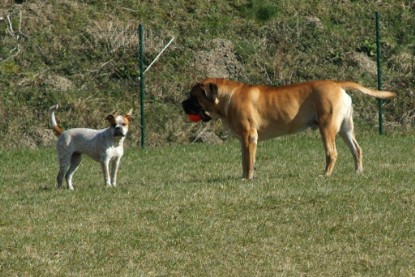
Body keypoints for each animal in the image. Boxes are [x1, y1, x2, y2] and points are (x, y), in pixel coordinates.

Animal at [182, 78, 396, 179]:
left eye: (193, 97)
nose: (182, 103)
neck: (228, 97)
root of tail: (336, 84)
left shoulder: (249, 136)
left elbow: (249, 161)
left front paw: (248, 178)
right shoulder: (244, 140)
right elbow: (244, 160)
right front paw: (243, 176)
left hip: (327, 127)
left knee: (332, 153)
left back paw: (325, 174)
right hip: (345, 129)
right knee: (357, 149)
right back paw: (358, 171)